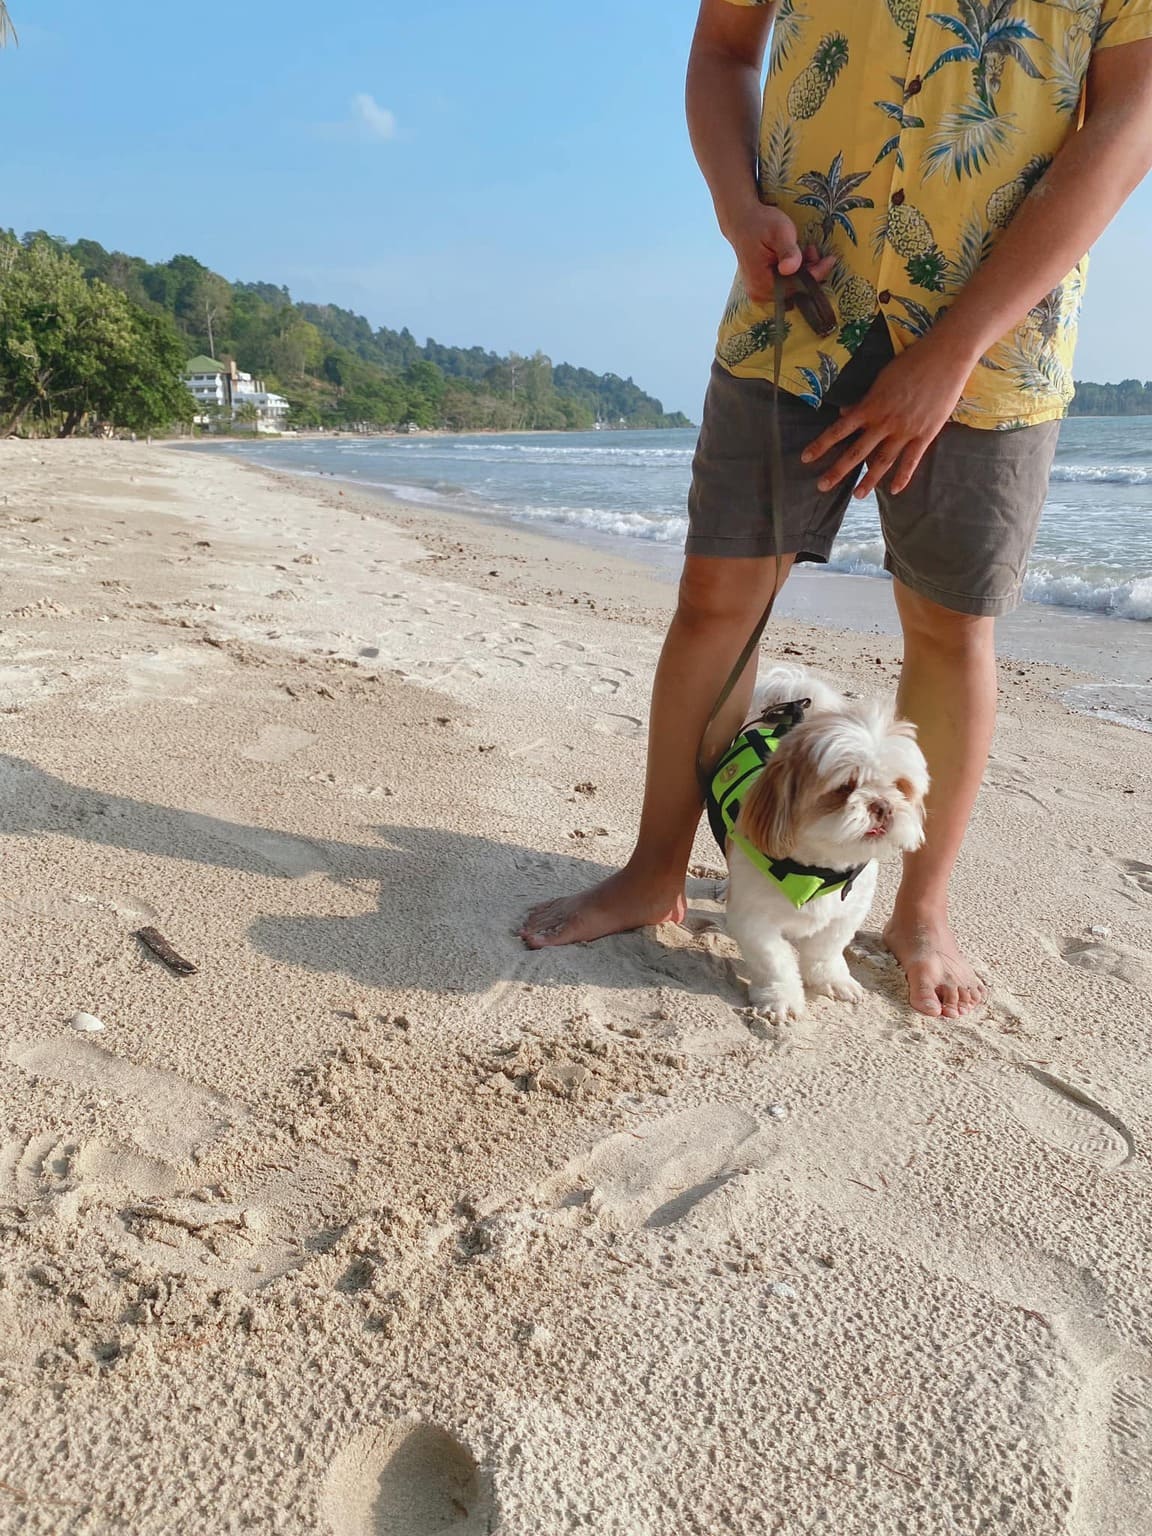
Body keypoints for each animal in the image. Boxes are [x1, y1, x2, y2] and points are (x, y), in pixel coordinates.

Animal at [708, 665, 929, 1023]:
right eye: (845, 788)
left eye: (900, 786)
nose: (882, 805)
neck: (818, 869)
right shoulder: (755, 920)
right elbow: (774, 961)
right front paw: (781, 997)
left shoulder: (846, 913)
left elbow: (827, 949)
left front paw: (832, 979)